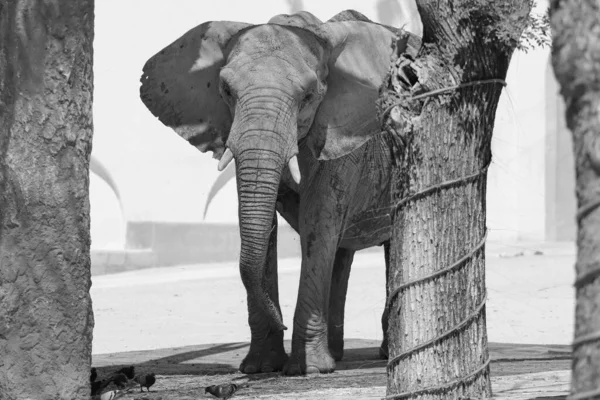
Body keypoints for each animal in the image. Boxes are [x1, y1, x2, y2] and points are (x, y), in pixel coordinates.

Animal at [139, 7, 422, 376]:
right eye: (225, 90)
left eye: (308, 96)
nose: (283, 324)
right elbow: (262, 223)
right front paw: (260, 368)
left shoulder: (339, 133)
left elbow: (318, 218)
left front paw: (308, 370)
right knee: (341, 251)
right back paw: (337, 354)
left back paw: (381, 353)